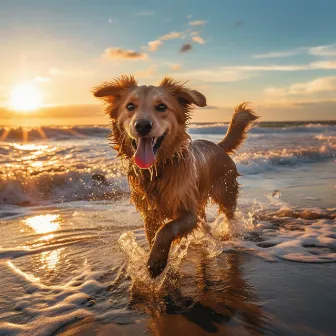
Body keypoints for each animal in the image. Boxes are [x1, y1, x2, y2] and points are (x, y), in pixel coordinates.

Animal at [93, 76, 258, 278]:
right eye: (130, 106)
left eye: (162, 107)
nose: (142, 125)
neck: (158, 170)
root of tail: (218, 146)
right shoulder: (150, 214)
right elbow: (155, 233)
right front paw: (156, 258)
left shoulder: (189, 213)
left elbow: (167, 229)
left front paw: (157, 262)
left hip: (226, 193)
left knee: (229, 216)